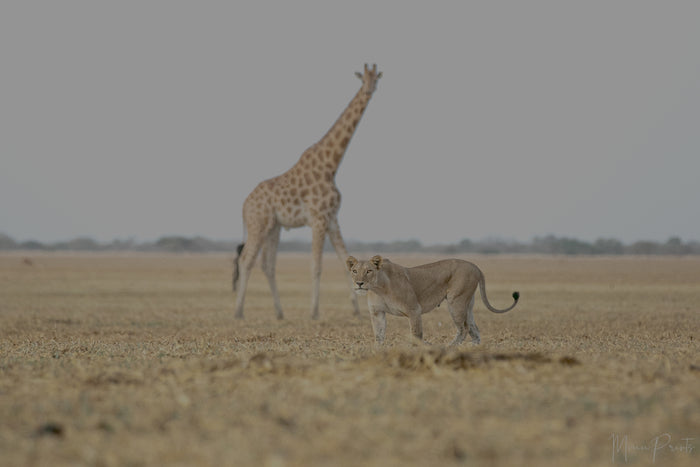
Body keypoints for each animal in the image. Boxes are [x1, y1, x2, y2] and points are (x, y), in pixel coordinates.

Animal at [232, 64, 380, 320]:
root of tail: (244, 204)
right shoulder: (318, 219)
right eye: (363, 79)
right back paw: (239, 311)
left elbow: (345, 261)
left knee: (267, 264)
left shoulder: (332, 220)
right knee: (246, 259)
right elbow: (316, 266)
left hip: (273, 227)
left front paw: (356, 310)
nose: (370, 90)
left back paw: (279, 313)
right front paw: (314, 312)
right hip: (258, 223)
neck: (331, 166)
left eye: (376, 79)